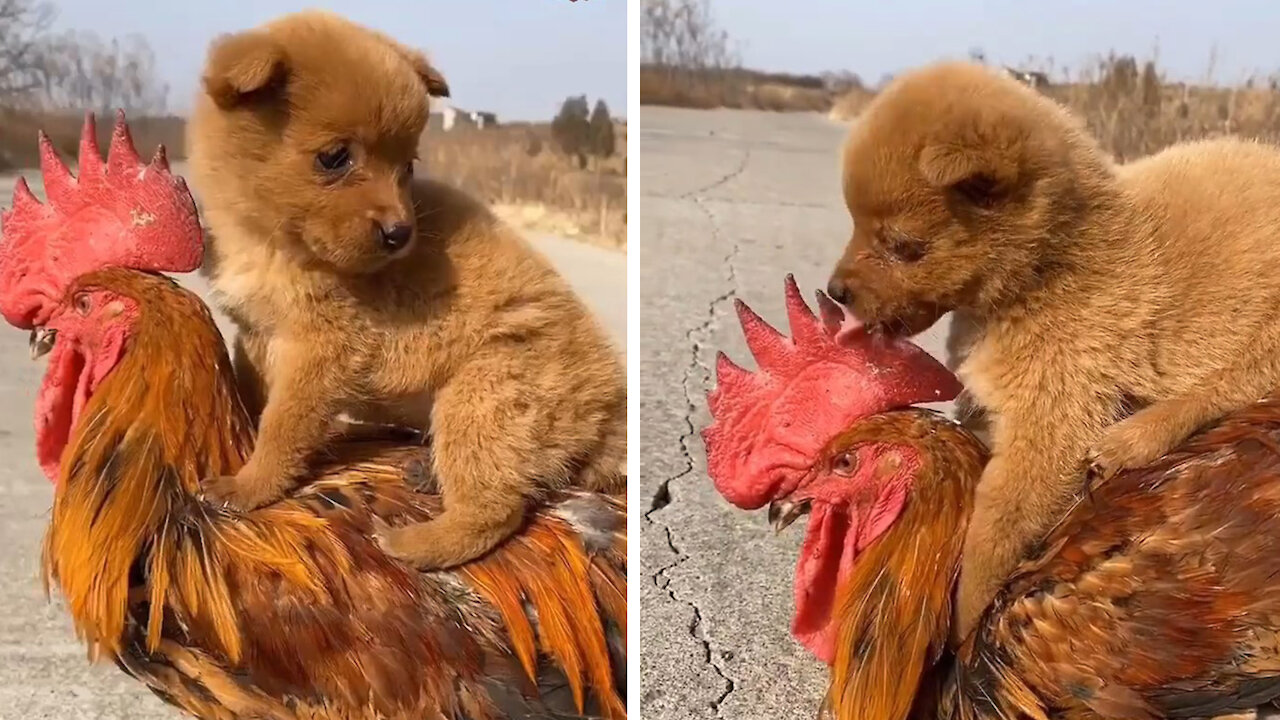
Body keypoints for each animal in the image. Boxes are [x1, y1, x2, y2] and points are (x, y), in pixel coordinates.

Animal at [186, 9, 627, 566]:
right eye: (335, 157)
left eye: (407, 165)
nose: (400, 233)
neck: (273, 245)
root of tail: (608, 408)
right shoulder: (256, 335)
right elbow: (253, 398)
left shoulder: (321, 351)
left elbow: (281, 427)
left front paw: (248, 486)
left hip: (483, 395)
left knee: (493, 511)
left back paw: (412, 543)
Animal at [824, 58, 1280, 635]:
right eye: (853, 224)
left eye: (904, 246)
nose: (836, 291)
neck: (1047, 270)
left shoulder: (1055, 412)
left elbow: (992, 540)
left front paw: (964, 627)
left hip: (1269, 332)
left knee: (1235, 383)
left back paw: (1133, 438)